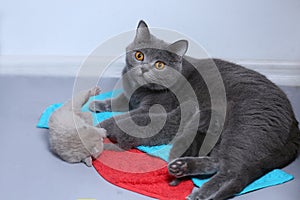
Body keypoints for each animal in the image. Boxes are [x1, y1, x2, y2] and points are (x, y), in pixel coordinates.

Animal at [89, 21, 300, 199]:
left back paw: (201, 193)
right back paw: (181, 167)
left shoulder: (155, 108)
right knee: (218, 161)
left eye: (160, 64)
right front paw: (96, 104)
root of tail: (293, 120)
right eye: (139, 55)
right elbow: (118, 101)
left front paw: (101, 124)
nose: (144, 68)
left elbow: (127, 116)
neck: (139, 88)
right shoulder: (129, 96)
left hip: (245, 126)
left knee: (231, 169)